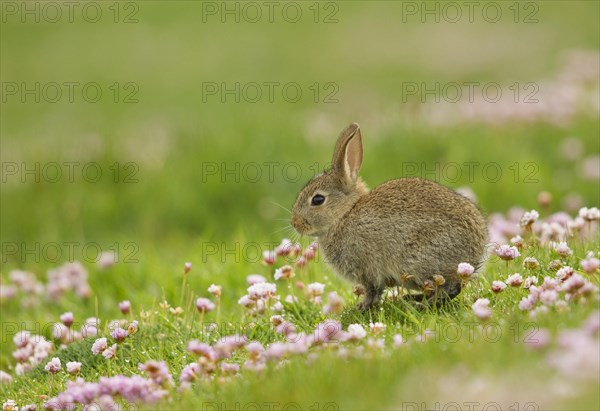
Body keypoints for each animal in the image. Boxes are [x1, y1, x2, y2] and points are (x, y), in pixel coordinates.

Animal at [290, 124, 488, 310]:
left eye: (317, 200)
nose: (295, 223)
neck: (345, 214)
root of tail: (477, 250)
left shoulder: (367, 270)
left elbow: (372, 291)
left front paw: (362, 307)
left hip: (420, 261)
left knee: (449, 287)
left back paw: (420, 304)